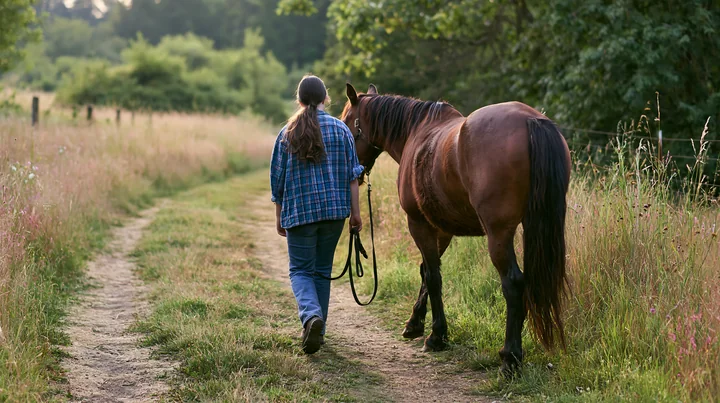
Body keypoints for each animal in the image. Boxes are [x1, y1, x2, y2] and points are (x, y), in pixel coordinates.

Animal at [341, 83, 571, 375]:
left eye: (347, 122)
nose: (353, 175)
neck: (417, 132)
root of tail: (531, 120)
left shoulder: (418, 223)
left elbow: (433, 277)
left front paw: (436, 336)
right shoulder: (442, 229)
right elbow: (426, 271)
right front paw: (415, 323)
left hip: (499, 234)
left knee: (513, 283)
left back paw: (510, 357)